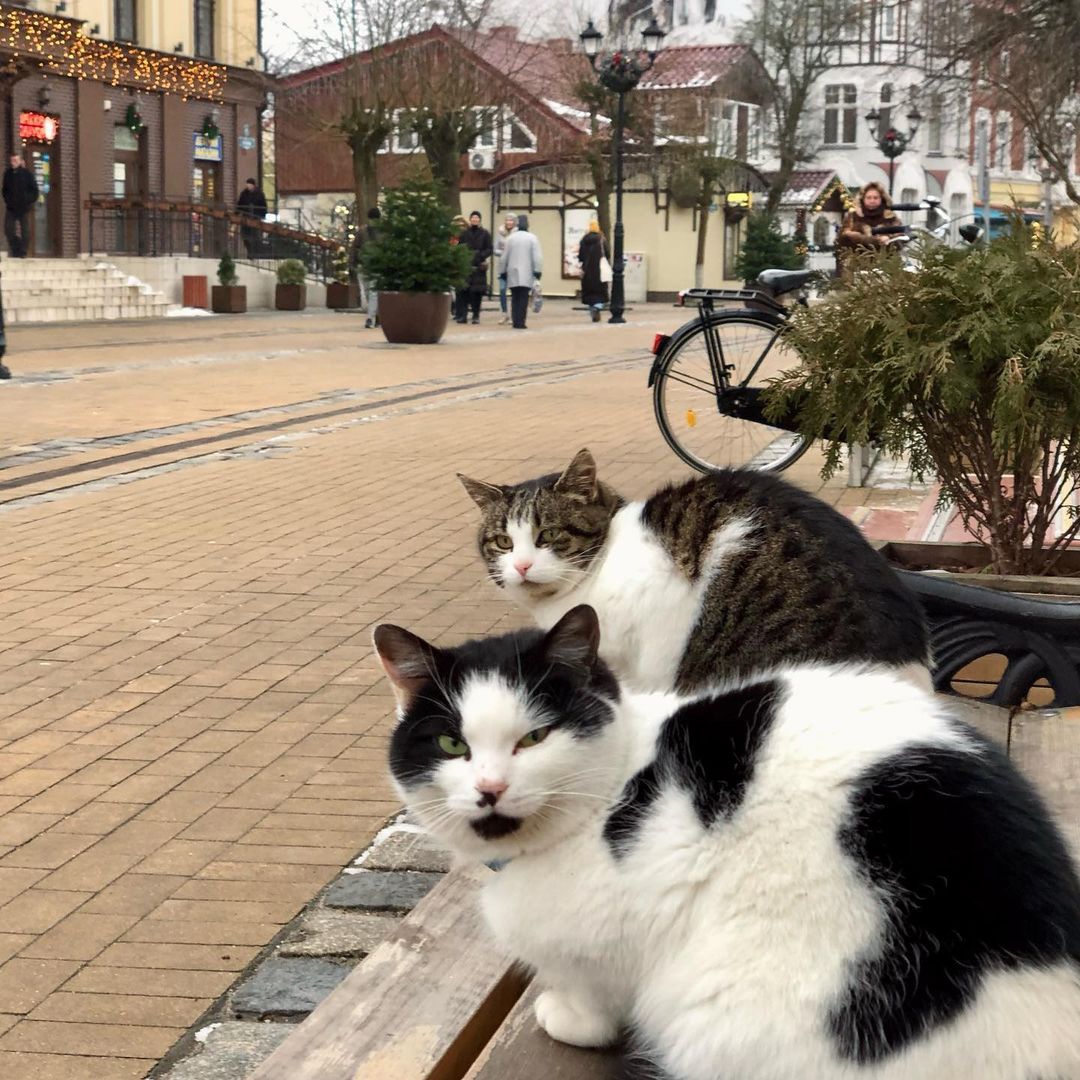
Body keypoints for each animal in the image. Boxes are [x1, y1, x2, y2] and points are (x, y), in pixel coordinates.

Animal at [373, 609, 1080, 1080]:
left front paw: (566, 1018)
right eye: (452, 744)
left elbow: (593, 997)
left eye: (534, 738)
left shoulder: (604, 946)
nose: (489, 788)